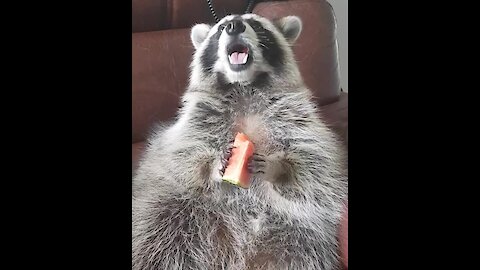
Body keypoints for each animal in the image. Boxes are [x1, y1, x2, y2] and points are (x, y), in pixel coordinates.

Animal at [133, 13, 346, 270]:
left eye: (256, 25)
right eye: (221, 28)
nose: (234, 26)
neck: (244, 86)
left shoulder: (299, 123)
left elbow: (314, 163)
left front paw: (278, 169)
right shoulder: (192, 125)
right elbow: (183, 156)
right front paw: (213, 167)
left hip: (298, 240)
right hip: (169, 215)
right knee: (156, 236)